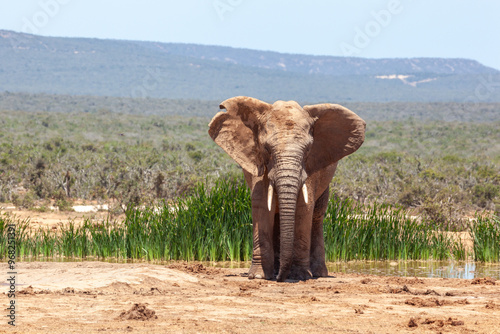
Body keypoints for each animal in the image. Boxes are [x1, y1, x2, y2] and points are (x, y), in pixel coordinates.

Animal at [209, 96, 366, 282]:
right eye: (267, 148)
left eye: (308, 149)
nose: (279, 278)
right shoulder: (258, 162)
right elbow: (262, 206)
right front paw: (259, 276)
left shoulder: (310, 166)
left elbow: (304, 208)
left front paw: (299, 275)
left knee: (317, 217)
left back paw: (318, 273)